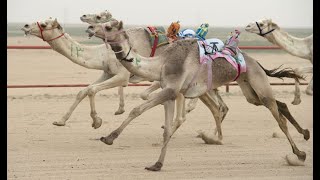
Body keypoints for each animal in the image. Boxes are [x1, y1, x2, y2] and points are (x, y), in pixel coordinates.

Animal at [87, 20, 310, 171]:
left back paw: (299, 154)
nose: (89, 28)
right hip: (249, 90)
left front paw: (109, 137)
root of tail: (255, 62)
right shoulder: (170, 93)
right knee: (275, 105)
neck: (161, 63)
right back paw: (304, 136)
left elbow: (137, 110)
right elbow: (167, 129)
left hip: (258, 82)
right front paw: (157, 164)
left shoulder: (171, 90)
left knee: (278, 118)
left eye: (108, 26)